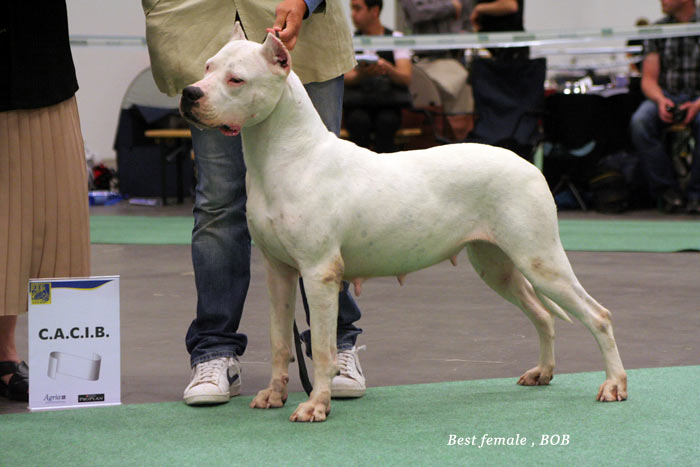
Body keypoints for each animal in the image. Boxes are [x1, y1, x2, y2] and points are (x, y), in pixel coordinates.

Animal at [180, 22, 628, 424]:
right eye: (207, 67)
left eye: (236, 79)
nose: (189, 93)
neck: (287, 154)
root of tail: (527, 164)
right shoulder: (279, 273)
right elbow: (278, 340)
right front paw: (274, 395)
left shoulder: (319, 272)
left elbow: (323, 348)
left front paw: (316, 405)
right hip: (497, 266)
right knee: (543, 315)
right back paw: (544, 372)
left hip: (539, 259)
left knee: (599, 315)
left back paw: (614, 385)